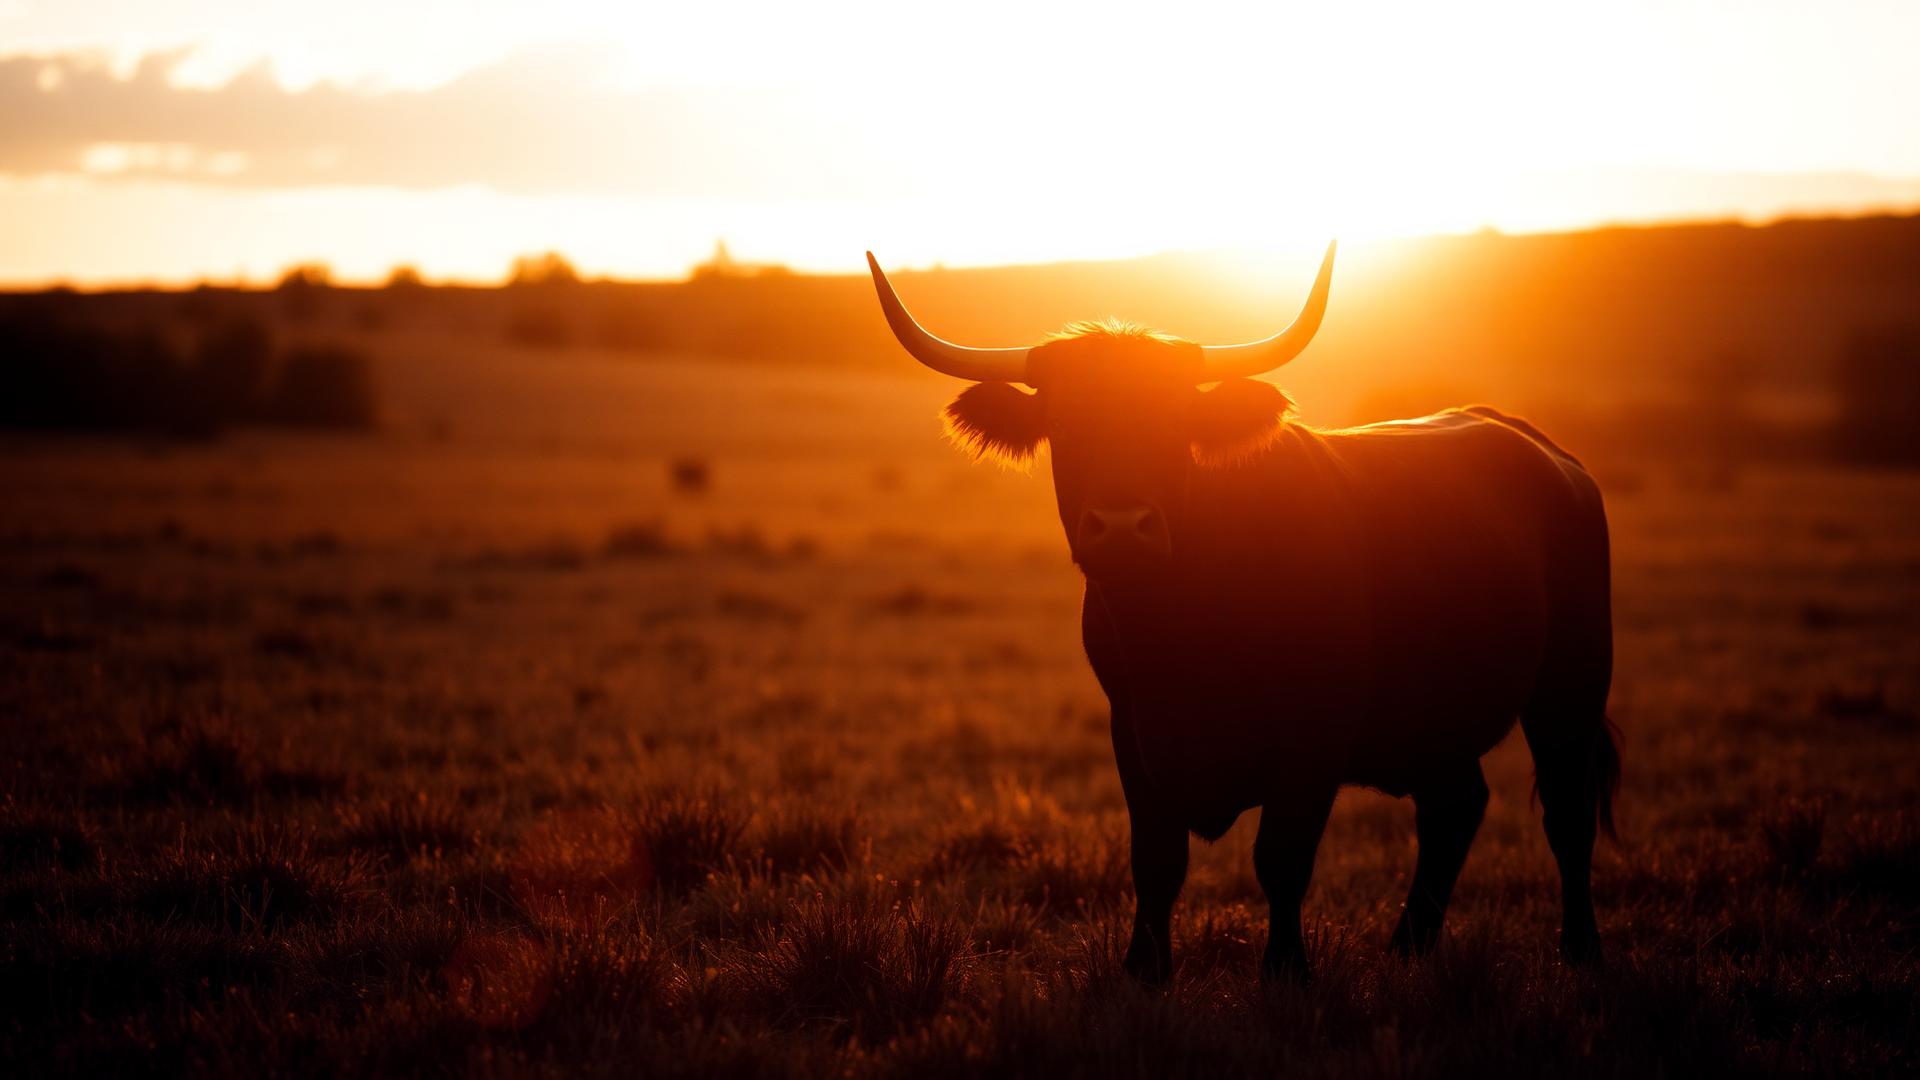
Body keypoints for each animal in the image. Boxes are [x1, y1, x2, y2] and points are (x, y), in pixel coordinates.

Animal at [866, 243, 1621, 983]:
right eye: (1064, 424)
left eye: (1175, 422)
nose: (1122, 528)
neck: (1181, 629)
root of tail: (1543, 452)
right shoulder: (1132, 732)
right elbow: (1157, 860)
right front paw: (1145, 970)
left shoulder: (1315, 735)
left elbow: (1280, 859)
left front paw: (1285, 971)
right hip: (1436, 719)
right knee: (1455, 807)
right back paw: (1407, 950)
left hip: (1571, 687)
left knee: (1566, 813)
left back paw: (1580, 949)